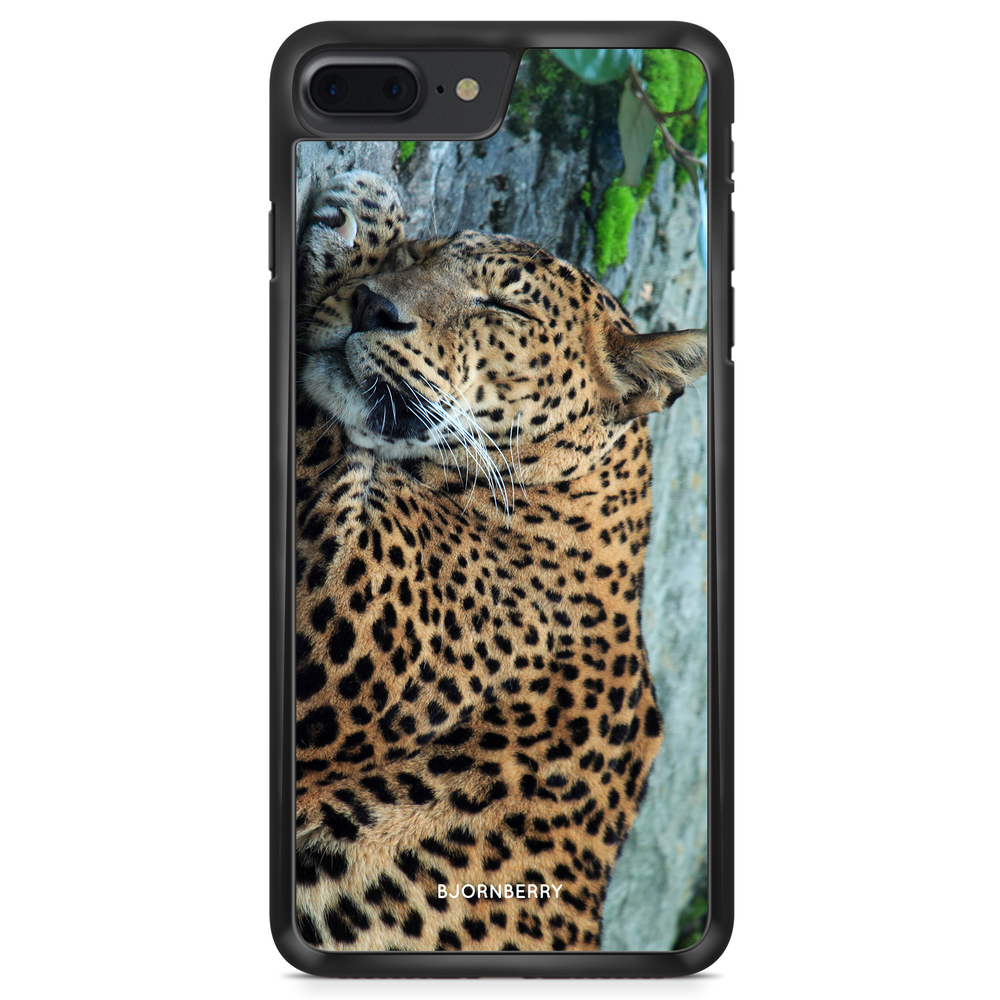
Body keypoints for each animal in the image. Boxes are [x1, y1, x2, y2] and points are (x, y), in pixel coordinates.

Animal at [293, 170, 707, 952]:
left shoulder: (345, 615)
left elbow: (319, 429)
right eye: (427, 254)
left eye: (504, 307)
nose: (373, 305)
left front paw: (360, 215)